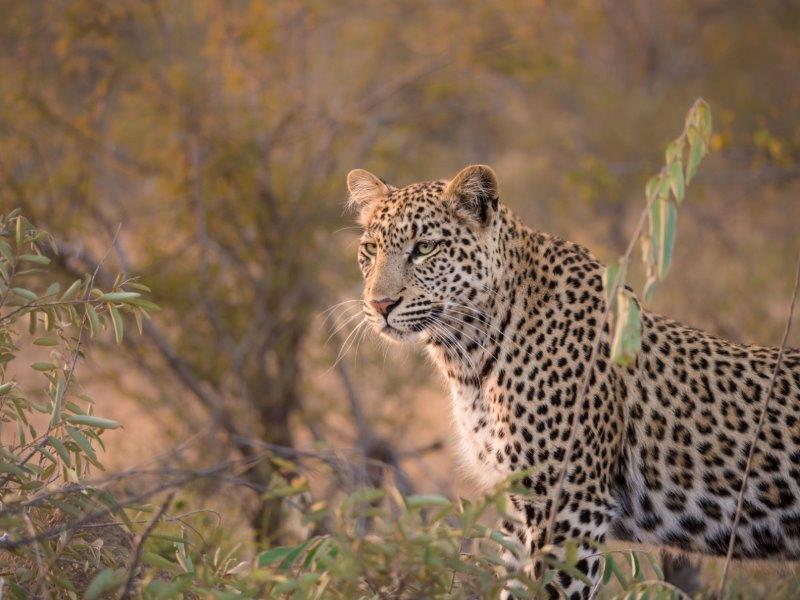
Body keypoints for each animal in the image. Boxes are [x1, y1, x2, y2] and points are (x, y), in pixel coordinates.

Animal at [346, 162, 800, 596]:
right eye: (370, 249)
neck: (468, 355)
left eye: (424, 248)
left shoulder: (569, 507)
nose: (380, 304)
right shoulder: (518, 506)